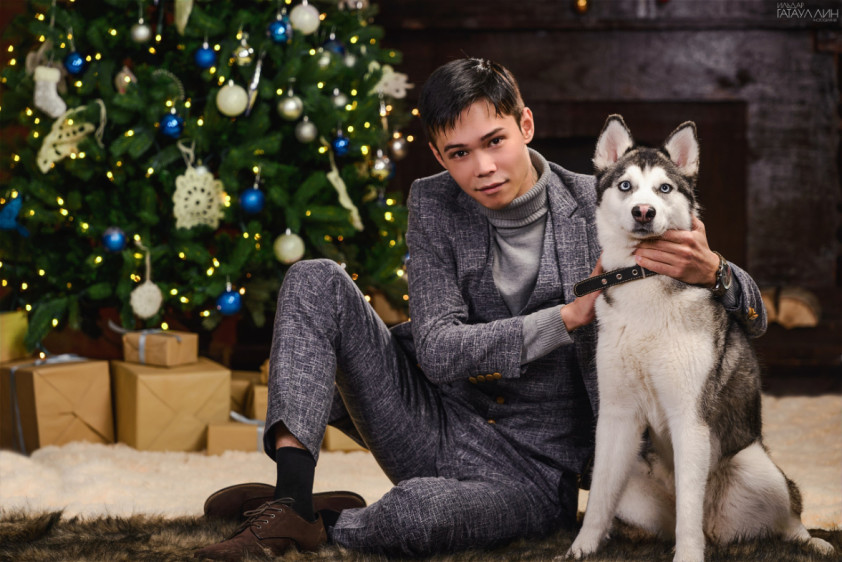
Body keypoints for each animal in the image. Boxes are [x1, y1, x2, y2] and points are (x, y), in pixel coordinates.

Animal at [564, 115, 835, 562]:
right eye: (626, 186)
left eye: (664, 188)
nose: (643, 211)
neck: (644, 281)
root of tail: (718, 529)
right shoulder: (616, 416)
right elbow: (599, 498)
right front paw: (580, 549)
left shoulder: (690, 417)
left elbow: (689, 508)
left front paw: (688, 555)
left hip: (757, 466)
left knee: (786, 516)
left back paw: (812, 541)